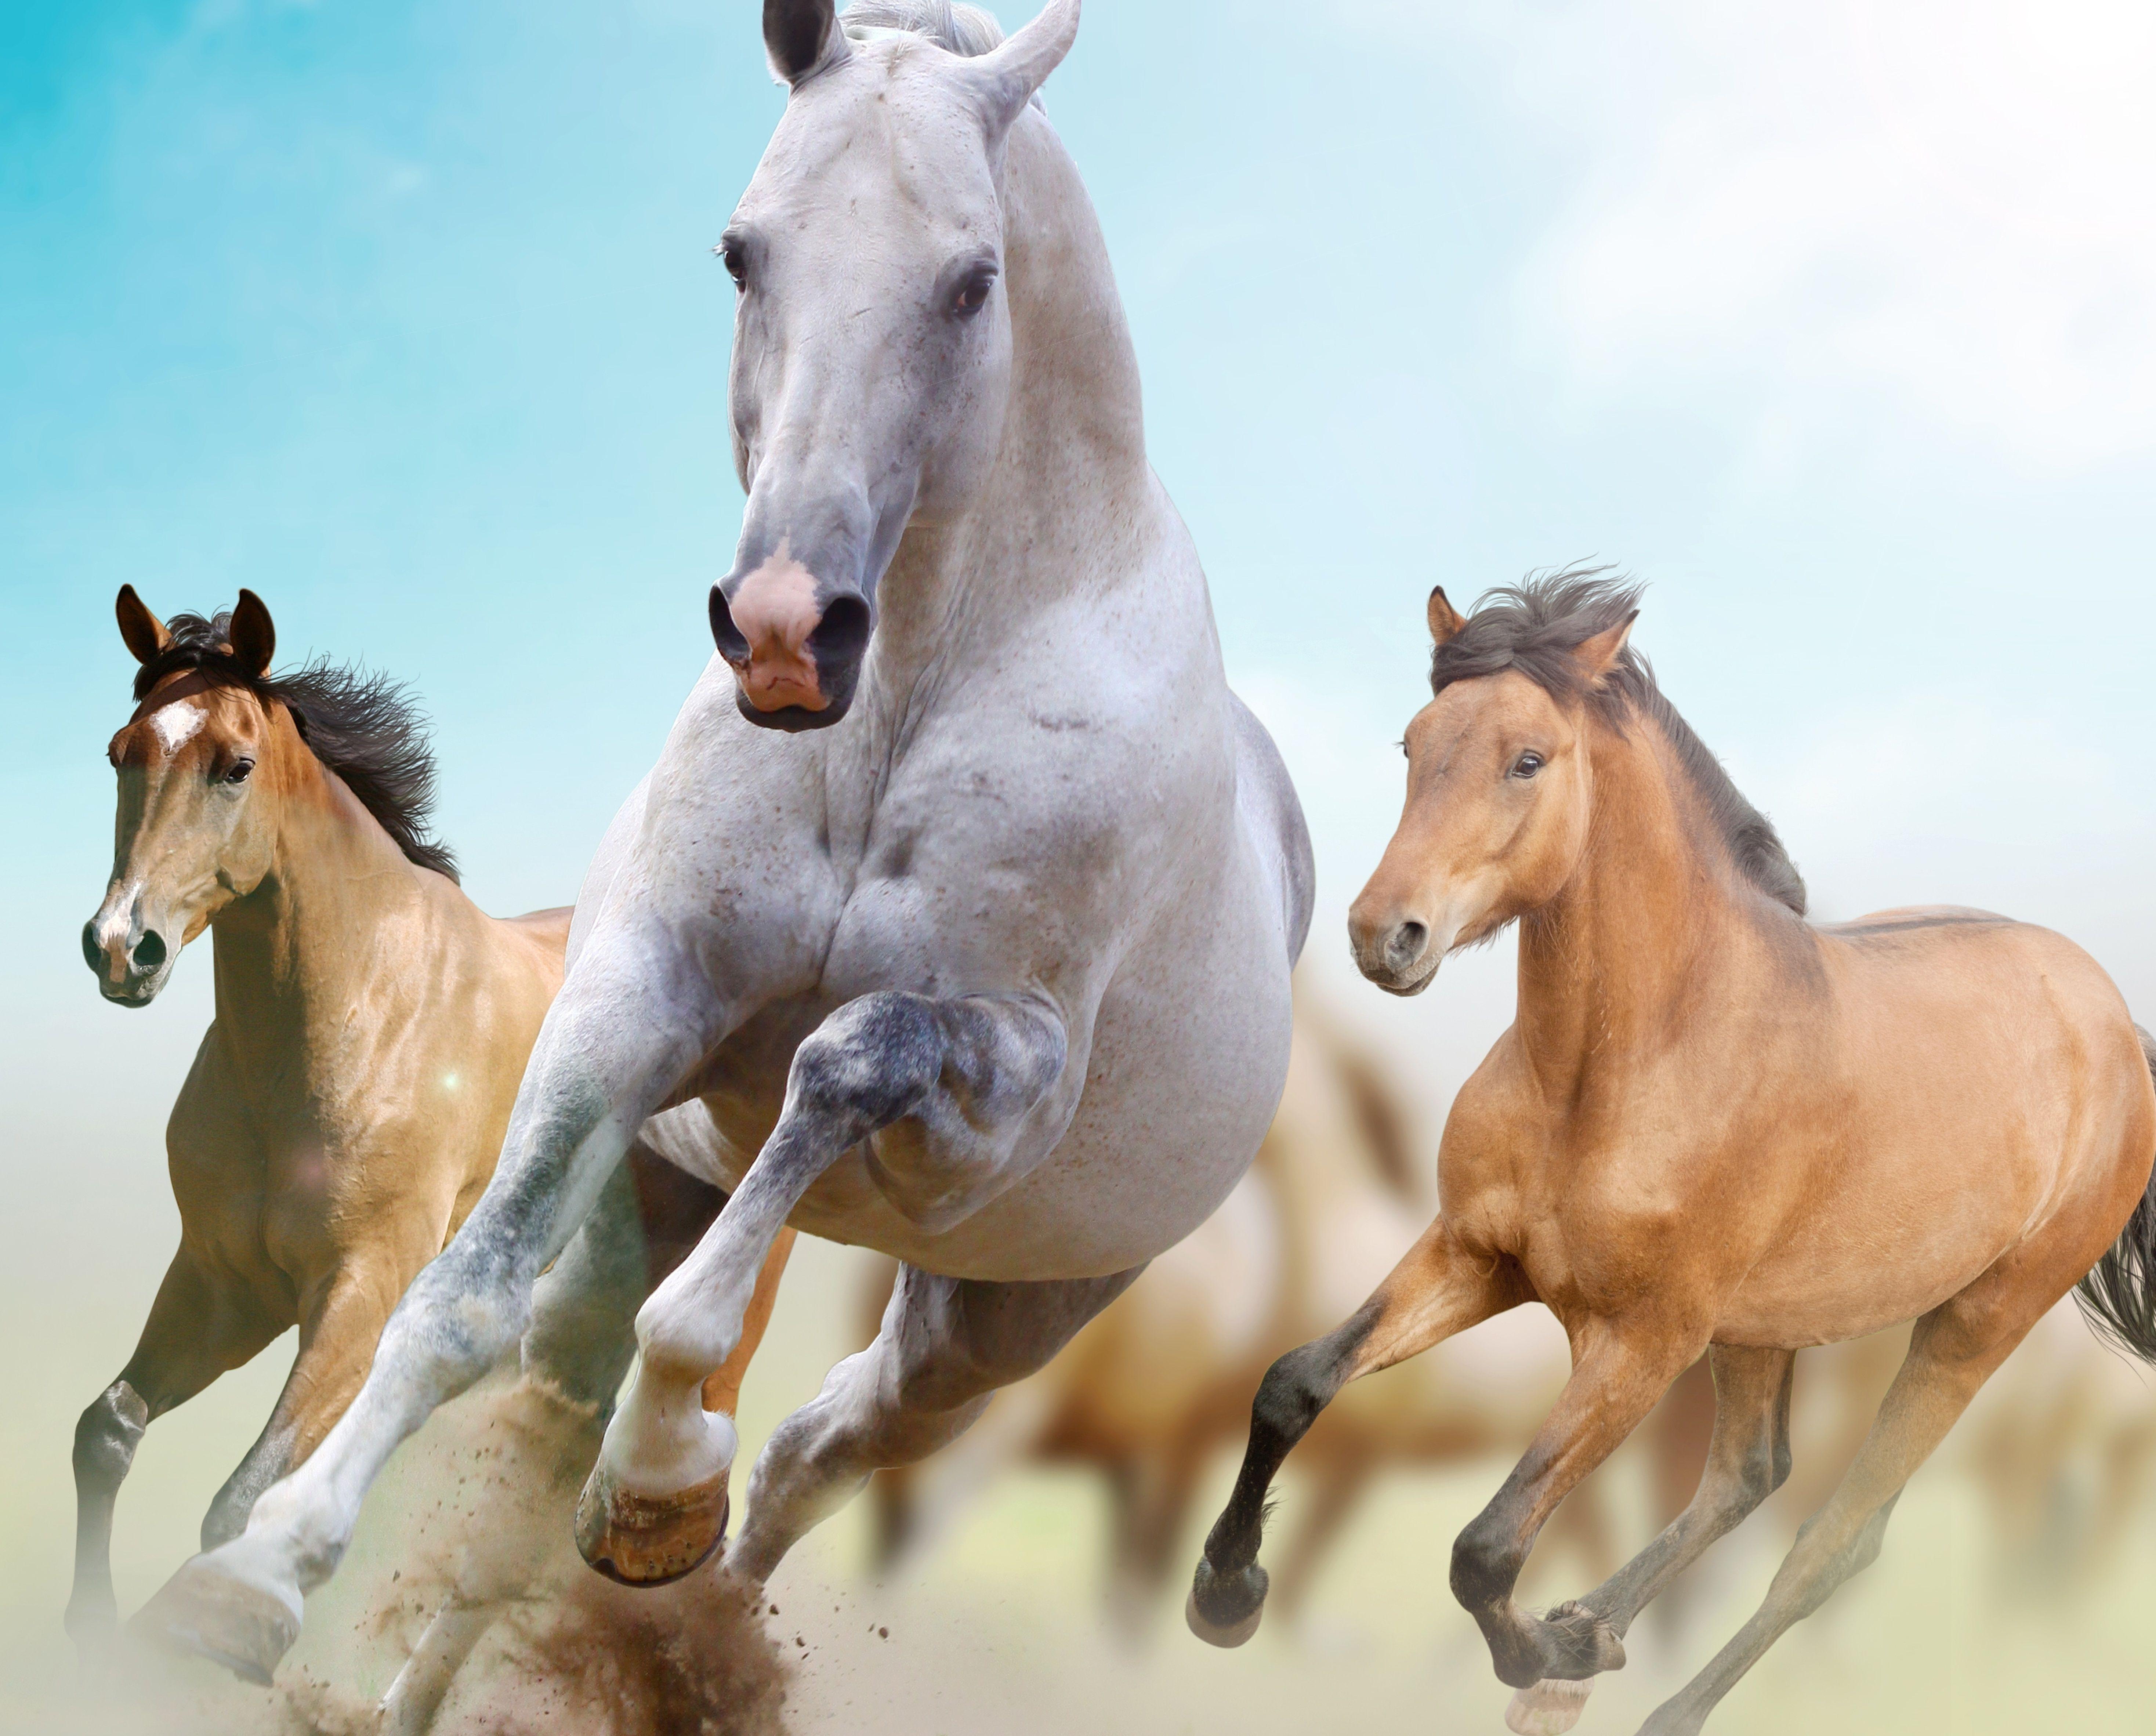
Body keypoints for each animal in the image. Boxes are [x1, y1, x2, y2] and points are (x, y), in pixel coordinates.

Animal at [73, 589, 792, 1720]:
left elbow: (240, 1498)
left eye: (235, 765)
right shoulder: (223, 1284)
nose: (121, 947)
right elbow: (107, 1429)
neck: (353, 1018)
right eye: (122, 753)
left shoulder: (359, 1295)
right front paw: (86, 1639)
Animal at [137, 0, 1311, 1686]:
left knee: (823, 1447)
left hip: (990, 1322)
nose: (781, 632)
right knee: (573, 1407)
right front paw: (256, 1573)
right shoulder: (637, 996)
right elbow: (458, 1302)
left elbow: (837, 1069)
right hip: (655, 1195)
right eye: (742, 252)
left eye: (973, 279)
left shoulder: (988, 1099)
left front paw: (657, 1472)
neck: (900, 702)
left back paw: (674, 1571)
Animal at [1189, 569, 2156, 1736]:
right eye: (1413, 744)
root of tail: (2114, 1019)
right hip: (1766, 1326)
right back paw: (1588, 1642)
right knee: (1748, 1476)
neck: (1618, 1070)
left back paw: (1632, 1689)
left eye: (1528, 758)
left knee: (1831, 1543)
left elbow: (1486, 1545)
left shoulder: (1640, 1342)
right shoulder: (1476, 1257)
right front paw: (1225, 1594)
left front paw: (1540, 1646)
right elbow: (1294, 1383)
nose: (1387, 935)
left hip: (1972, 1328)